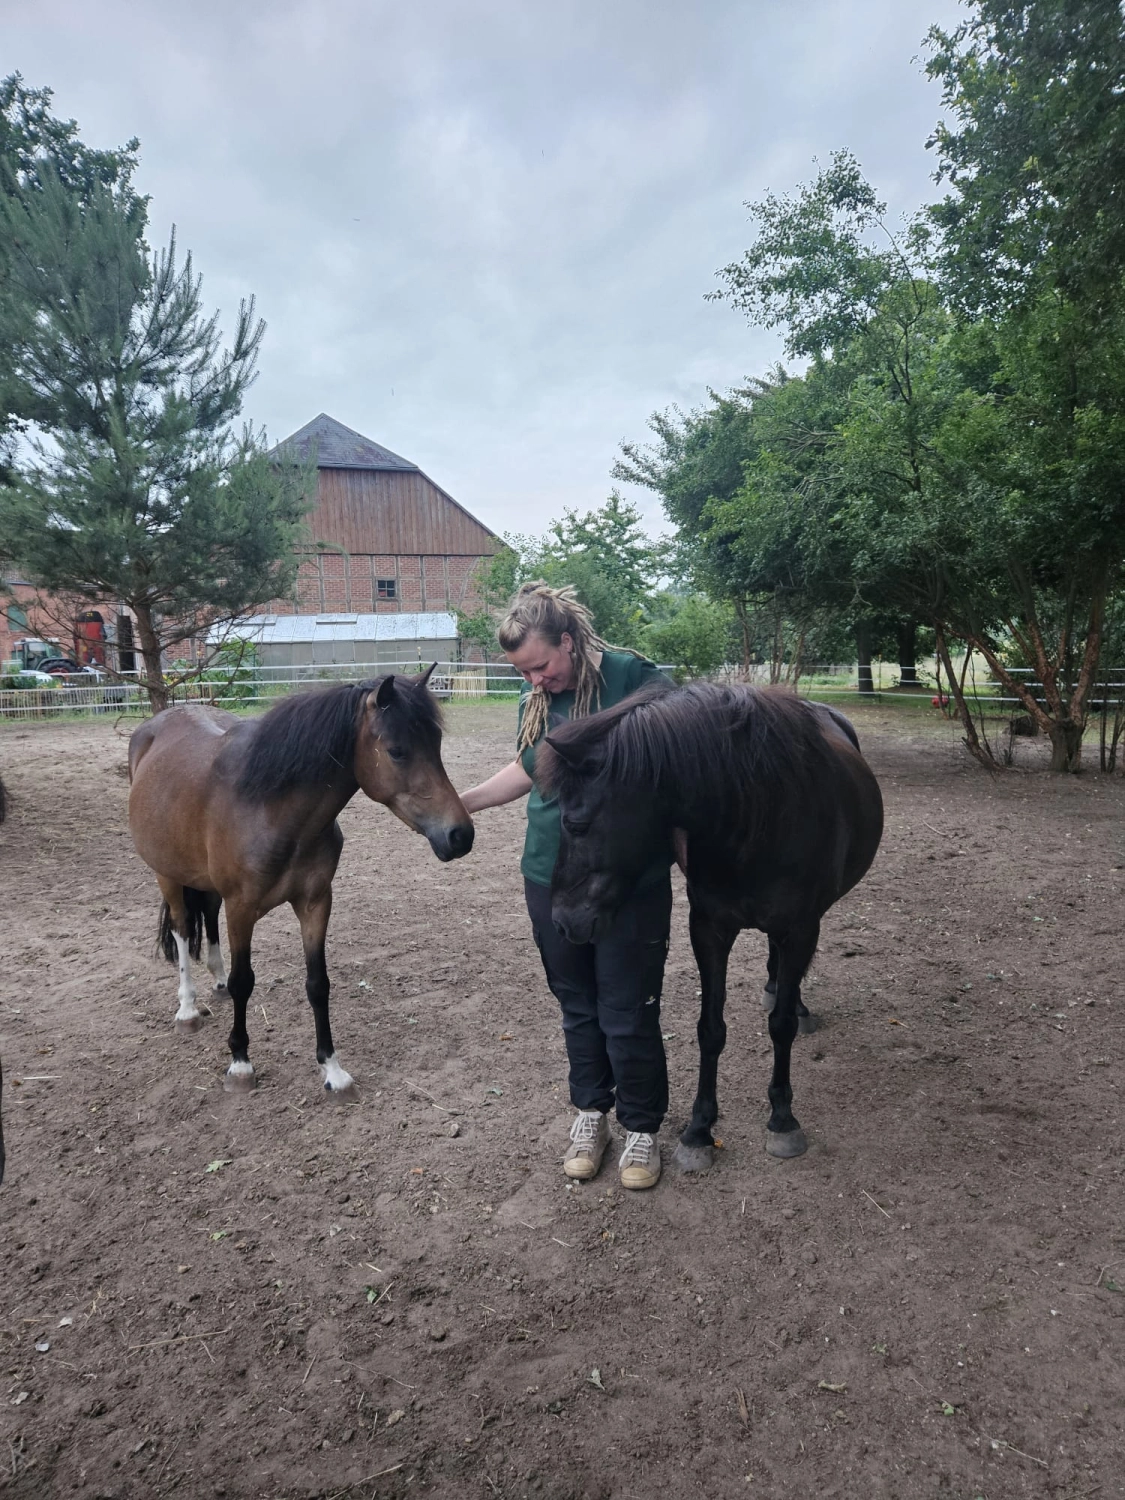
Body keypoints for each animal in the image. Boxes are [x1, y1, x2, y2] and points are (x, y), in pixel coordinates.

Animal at [128, 669, 474, 1097]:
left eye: (436, 744)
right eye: (396, 751)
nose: (460, 835)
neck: (270, 810)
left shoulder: (315, 902)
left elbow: (317, 983)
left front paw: (333, 1069)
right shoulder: (241, 910)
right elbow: (245, 981)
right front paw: (240, 1062)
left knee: (206, 915)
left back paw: (216, 981)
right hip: (168, 875)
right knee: (181, 929)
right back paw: (188, 1008)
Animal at [537, 680, 883, 1171]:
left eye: (576, 823)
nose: (563, 922)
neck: (757, 821)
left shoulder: (800, 928)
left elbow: (780, 1027)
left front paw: (782, 1119)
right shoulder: (708, 930)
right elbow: (710, 1028)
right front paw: (699, 1130)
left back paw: (796, 1004)